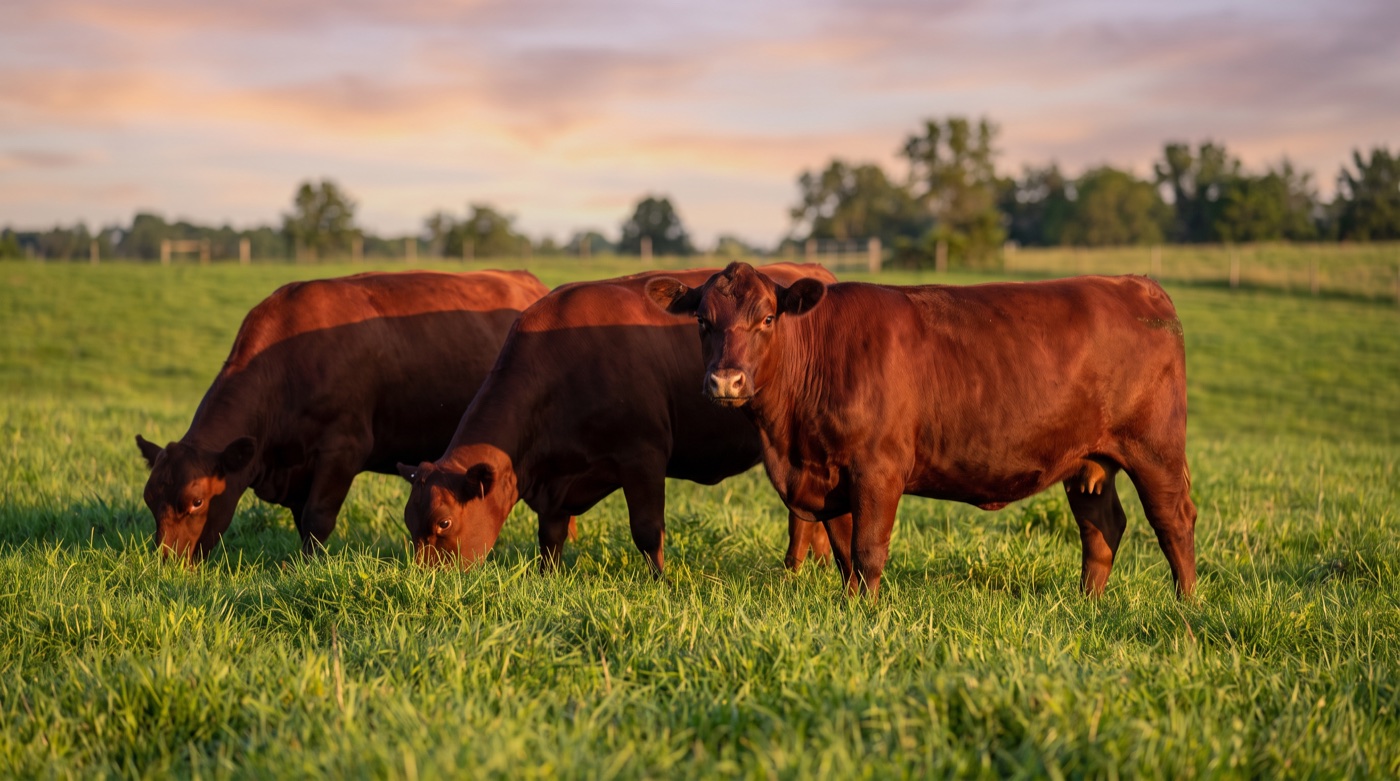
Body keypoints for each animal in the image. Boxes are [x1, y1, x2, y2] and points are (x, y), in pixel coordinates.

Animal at [135, 269, 549, 563]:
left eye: (196, 502)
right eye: (150, 499)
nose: (168, 564)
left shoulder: (343, 450)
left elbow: (317, 518)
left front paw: (309, 568)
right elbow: (303, 520)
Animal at [398, 264, 851, 574]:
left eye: (443, 522)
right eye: (408, 521)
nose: (425, 584)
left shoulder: (643, 456)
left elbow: (648, 530)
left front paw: (661, 583)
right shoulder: (554, 479)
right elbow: (550, 537)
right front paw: (546, 579)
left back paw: (794, 570)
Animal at [646, 262, 1197, 600]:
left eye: (766, 318)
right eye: (702, 321)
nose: (725, 381)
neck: (790, 442)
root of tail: (1135, 283)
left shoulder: (879, 468)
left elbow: (868, 550)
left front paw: (866, 613)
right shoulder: (828, 473)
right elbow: (843, 551)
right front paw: (849, 608)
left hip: (1156, 449)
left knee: (1173, 520)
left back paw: (1186, 604)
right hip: (1088, 461)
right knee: (1101, 526)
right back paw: (1087, 603)